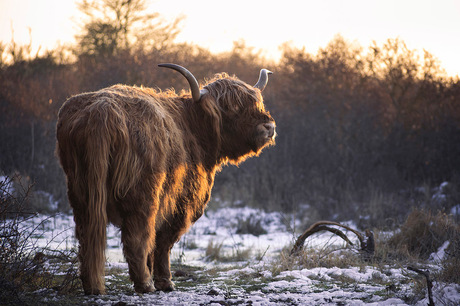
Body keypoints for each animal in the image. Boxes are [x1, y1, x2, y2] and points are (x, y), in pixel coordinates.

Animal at [55, 64, 274, 294]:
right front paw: (165, 282)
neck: (193, 127)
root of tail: (101, 111)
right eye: (232, 107)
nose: (268, 127)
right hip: (143, 196)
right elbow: (163, 242)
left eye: (256, 102)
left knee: (86, 235)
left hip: (81, 192)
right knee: (137, 237)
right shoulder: (181, 203)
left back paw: (92, 285)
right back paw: (145, 284)